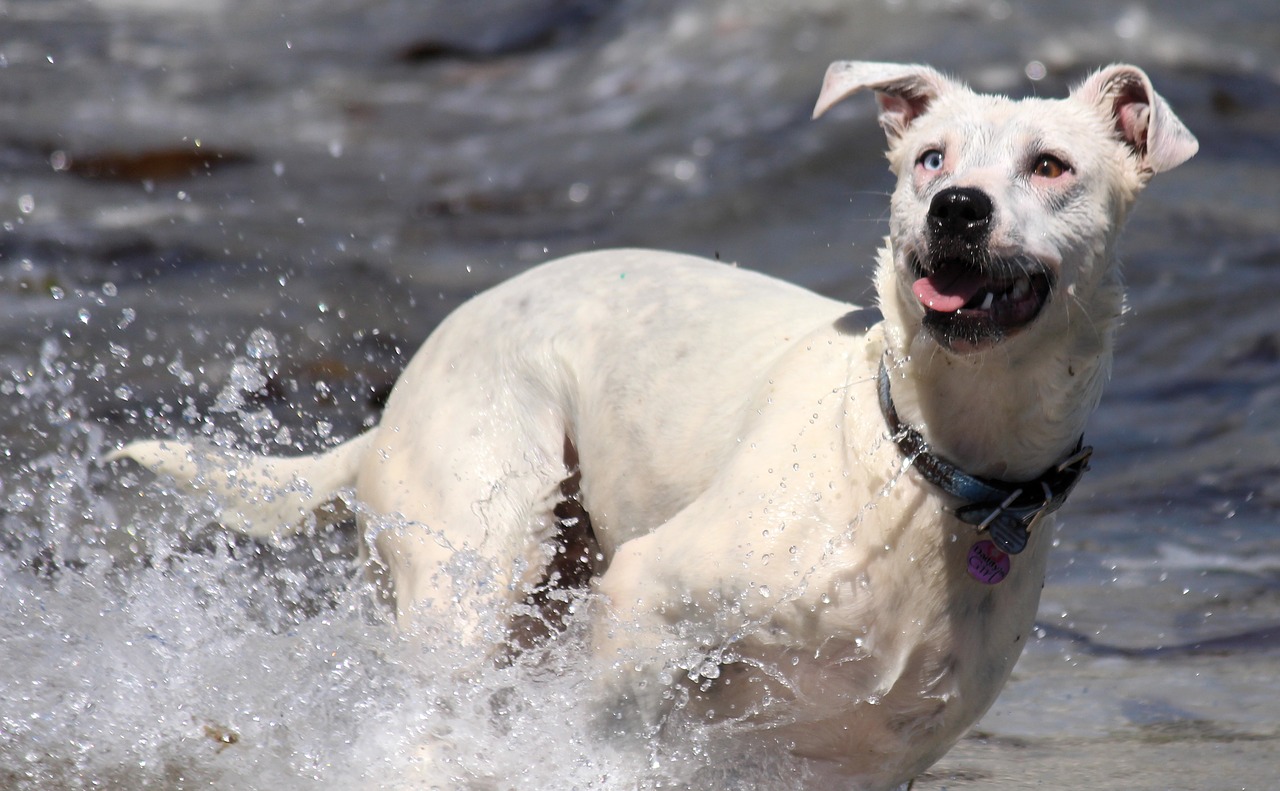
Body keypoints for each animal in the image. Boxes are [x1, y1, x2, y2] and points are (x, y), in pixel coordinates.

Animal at [112, 63, 1198, 788]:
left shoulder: (860, 753)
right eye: (929, 159)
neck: (925, 462)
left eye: (1050, 165)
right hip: (483, 545)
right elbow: (608, 737)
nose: (955, 208)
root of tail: (390, 408)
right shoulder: (647, 599)